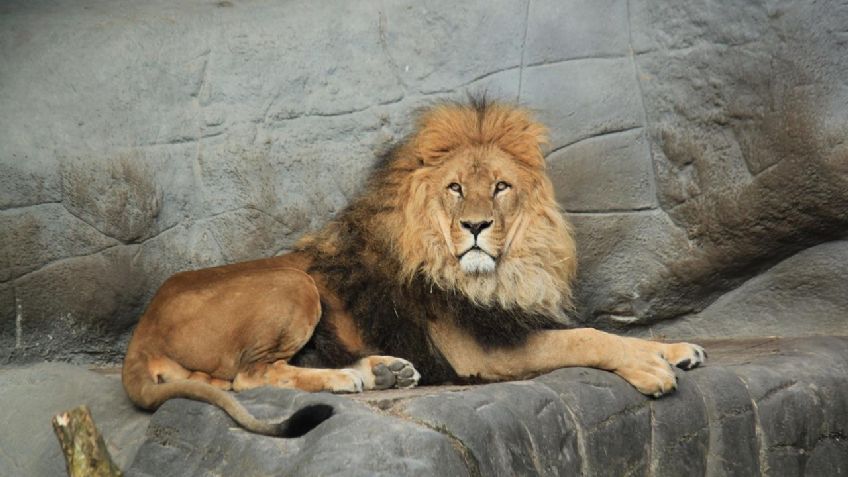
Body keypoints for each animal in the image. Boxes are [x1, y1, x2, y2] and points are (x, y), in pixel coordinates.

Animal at [121, 96, 704, 436]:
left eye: (500, 187)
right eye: (455, 188)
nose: (475, 226)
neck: (501, 274)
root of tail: (141, 332)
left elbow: (612, 332)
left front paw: (675, 347)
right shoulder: (482, 351)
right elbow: (587, 337)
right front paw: (652, 369)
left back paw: (384, 370)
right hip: (293, 282)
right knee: (248, 376)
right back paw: (349, 378)